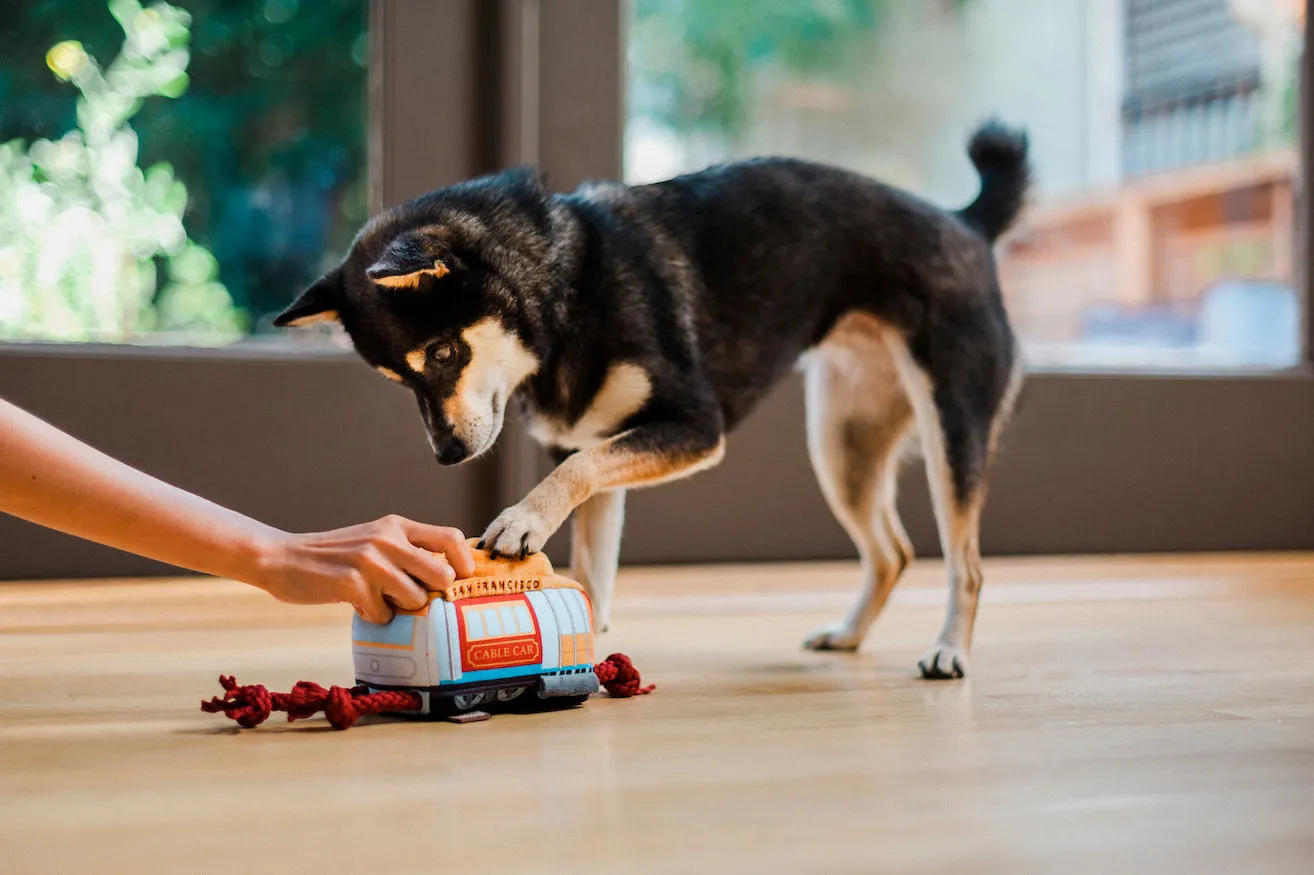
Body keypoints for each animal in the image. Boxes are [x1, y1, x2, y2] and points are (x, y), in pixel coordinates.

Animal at [277, 119, 1030, 677]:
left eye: (441, 354)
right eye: (399, 381)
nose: (447, 454)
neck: (566, 286)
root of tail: (965, 223)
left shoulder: (692, 427)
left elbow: (575, 475)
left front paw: (522, 519)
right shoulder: (590, 442)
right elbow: (592, 547)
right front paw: (582, 625)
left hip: (948, 430)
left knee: (965, 564)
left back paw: (950, 650)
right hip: (843, 445)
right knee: (892, 551)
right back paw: (848, 634)